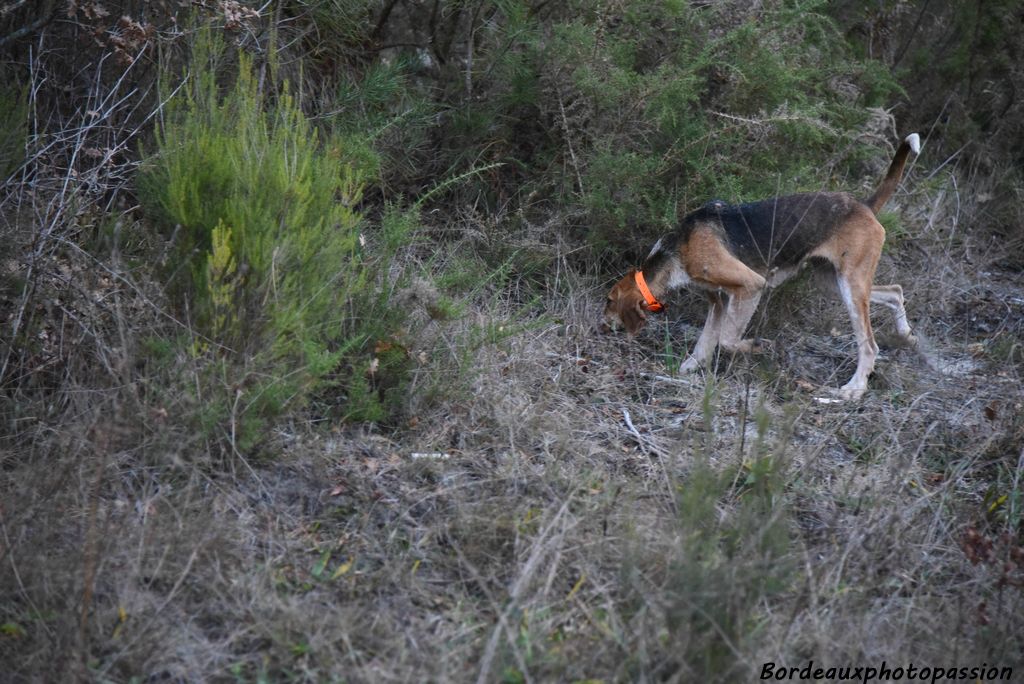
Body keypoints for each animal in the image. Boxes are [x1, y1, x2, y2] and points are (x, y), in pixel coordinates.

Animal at [602, 133, 925, 401]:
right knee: (895, 291)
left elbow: (727, 340)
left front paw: (756, 346)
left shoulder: (751, 286)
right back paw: (906, 335)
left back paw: (854, 389)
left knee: (869, 346)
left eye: (609, 301)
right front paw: (688, 369)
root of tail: (864, 205)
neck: (678, 245)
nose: (602, 325)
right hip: (834, 282)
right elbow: (706, 341)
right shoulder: (719, 301)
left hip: (850, 287)